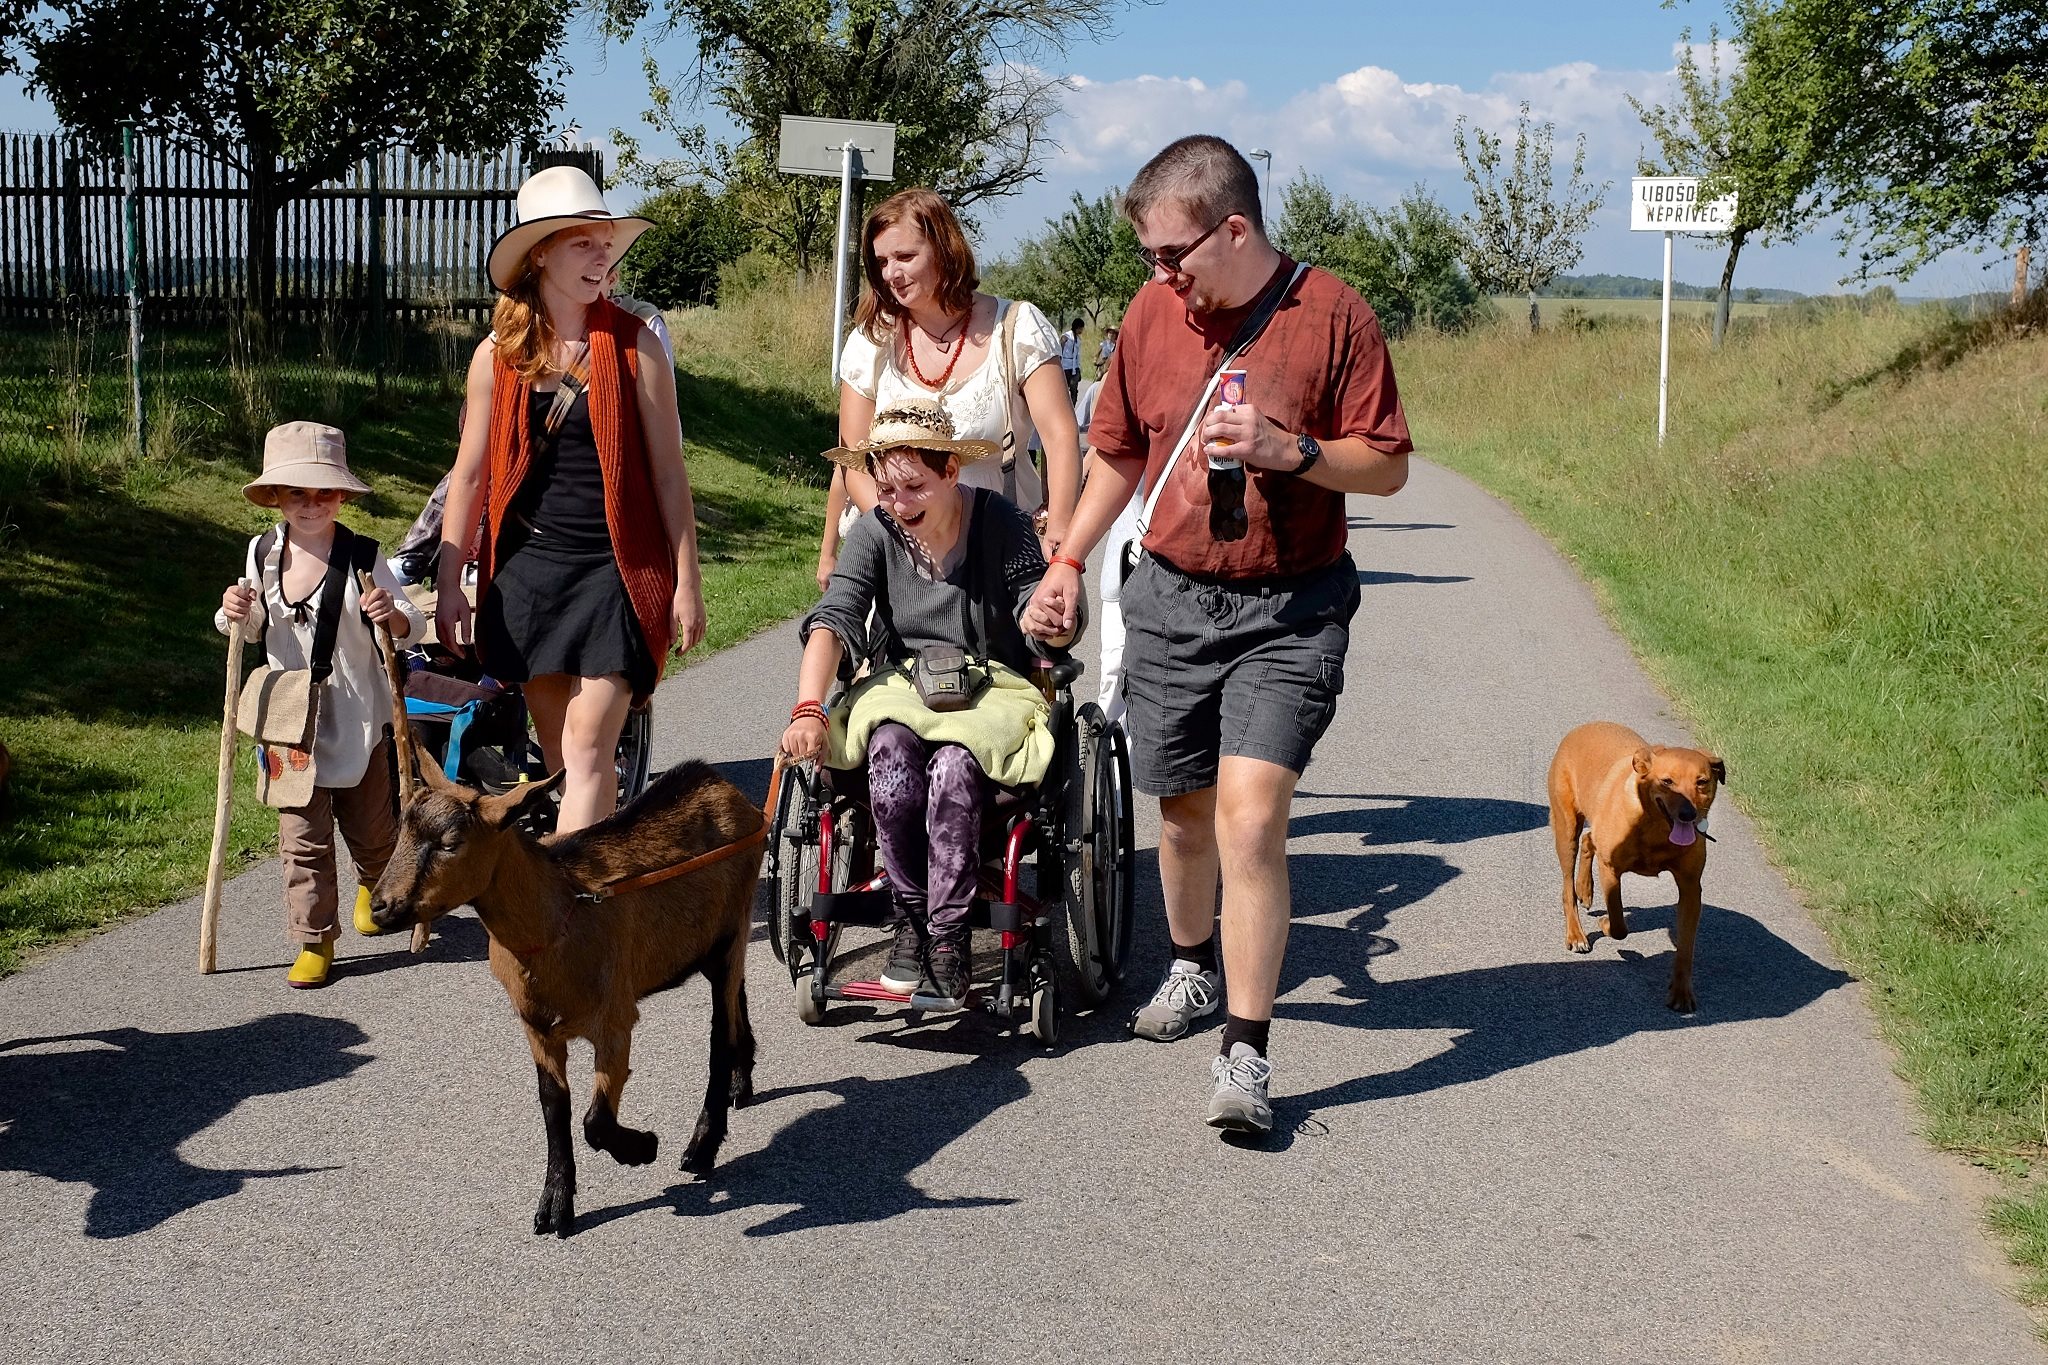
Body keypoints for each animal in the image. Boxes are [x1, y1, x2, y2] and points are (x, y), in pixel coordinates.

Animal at [368, 757, 761, 1236]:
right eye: (402, 831)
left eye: (450, 844)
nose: (380, 907)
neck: (561, 917)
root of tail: (718, 783)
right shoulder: (538, 1029)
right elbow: (554, 1105)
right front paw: (555, 1203)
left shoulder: (615, 1020)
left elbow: (596, 1121)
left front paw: (643, 1148)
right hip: (710, 944)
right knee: (737, 998)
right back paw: (741, 1083)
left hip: (733, 927)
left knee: (720, 1034)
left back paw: (702, 1146)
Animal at [1548, 720, 1728, 1010]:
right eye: (1667, 781)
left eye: (1702, 782)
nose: (1688, 814)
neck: (1656, 828)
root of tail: (1585, 726)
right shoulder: (1610, 869)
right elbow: (1619, 925)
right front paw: (1606, 925)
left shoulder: (1691, 887)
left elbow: (1686, 946)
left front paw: (1681, 991)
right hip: (1566, 828)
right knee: (1567, 884)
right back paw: (1576, 933)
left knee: (1589, 839)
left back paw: (1585, 889)